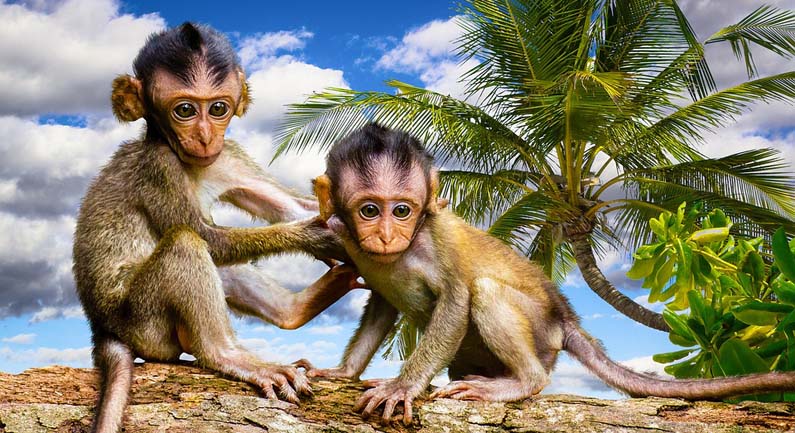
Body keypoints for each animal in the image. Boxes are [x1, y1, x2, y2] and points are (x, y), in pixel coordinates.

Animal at [73, 23, 357, 433]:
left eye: (218, 108)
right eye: (185, 110)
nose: (206, 136)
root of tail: (102, 329)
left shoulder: (228, 156)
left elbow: (288, 207)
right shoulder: (158, 166)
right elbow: (208, 238)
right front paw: (316, 235)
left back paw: (294, 310)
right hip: (144, 324)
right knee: (186, 243)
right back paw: (225, 354)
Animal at [294, 123, 795, 425]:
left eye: (402, 210)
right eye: (369, 210)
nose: (385, 235)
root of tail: (566, 319)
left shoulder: (435, 238)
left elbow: (456, 299)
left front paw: (403, 385)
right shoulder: (346, 238)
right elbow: (380, 305)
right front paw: (342, 372)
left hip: (542, 332)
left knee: (486, 291)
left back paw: (523, 382)